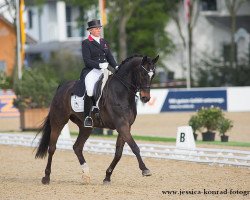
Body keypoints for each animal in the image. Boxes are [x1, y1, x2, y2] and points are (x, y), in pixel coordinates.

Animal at [35, 54, 158, 184]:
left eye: (153, 74)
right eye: (143, 73)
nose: (145, 98)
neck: (121, 92)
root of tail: (62, 87)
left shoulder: (125, 126)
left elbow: (118, 153)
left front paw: (107, 176)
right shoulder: (122, 125)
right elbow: (134, 147)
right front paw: (145, 169)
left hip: (86, 127)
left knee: (77, 147)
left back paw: (86, 174)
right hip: (59, 121)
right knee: (52, 147)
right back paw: (46, 177)